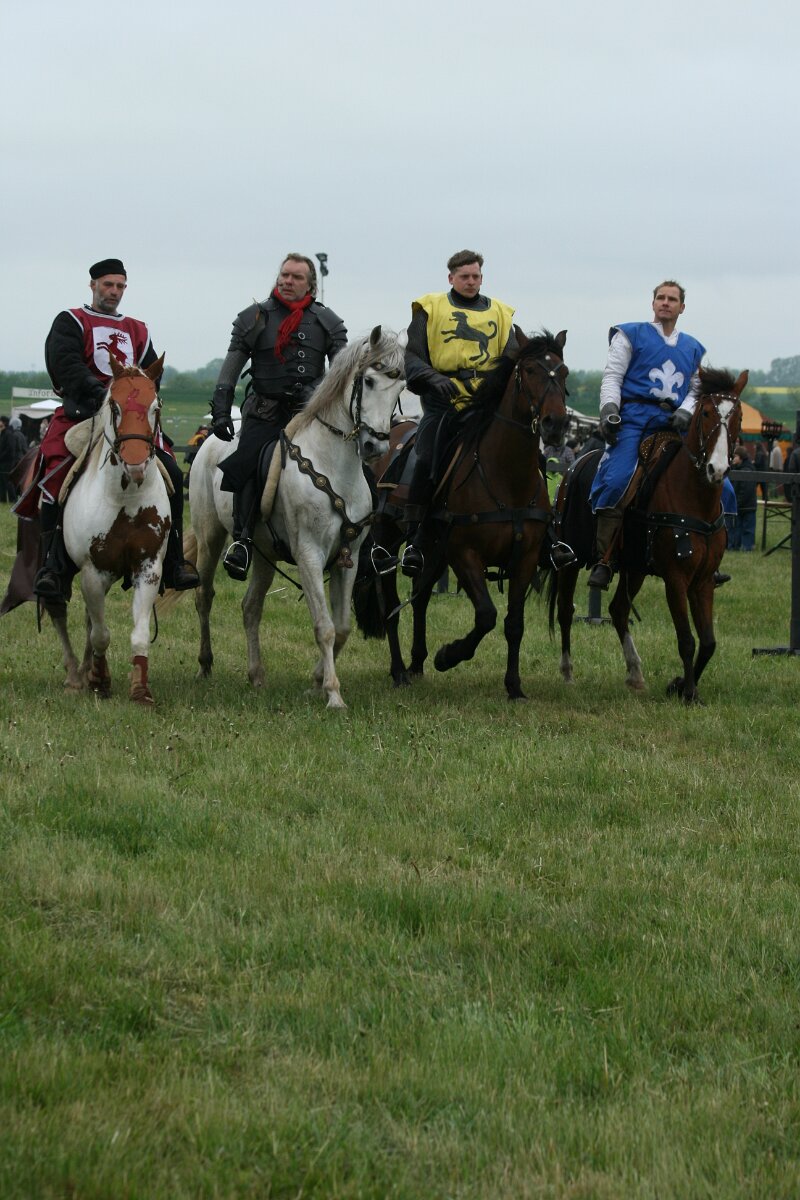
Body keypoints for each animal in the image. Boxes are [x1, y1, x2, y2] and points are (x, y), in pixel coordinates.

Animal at [47, 353, 171, 704]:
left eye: (155, 405)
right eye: (114, 406)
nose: (136, 464)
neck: (124, 498)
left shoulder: (148, 567)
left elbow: (139, 634)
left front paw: (140, 690)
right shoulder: (93, 571)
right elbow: (100, 634)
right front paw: (100, 681)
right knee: (58, 609)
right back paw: (76, 676)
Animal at [185, 326, 406, 708]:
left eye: (399, 388)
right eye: (369, 380)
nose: (376, 446)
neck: (332, 466)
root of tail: (208, 444)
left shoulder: (348, 557)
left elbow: (341, 627)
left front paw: (317, 681)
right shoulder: (309, 555)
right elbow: (325, 627)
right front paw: (333, 694)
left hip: (263, 554)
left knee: (251, 607)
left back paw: (257, 675)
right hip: (209, 536)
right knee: (204, 596)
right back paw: (204, 664)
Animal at [354, 329, 569, 699]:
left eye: (564, 371)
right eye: (529, 371)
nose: (555, 424)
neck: (505, 476)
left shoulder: (525, 558)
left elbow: (514, 624)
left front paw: (514, 687)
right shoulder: (464, 554)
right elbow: (486, 615)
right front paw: (448, 656)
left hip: (432, 549)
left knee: (421, 597)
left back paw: (417, 663)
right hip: (386, 542)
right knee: (391, 604)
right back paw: (399, 671)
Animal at [547, 365, 748, 703]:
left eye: (739, 416)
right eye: (706, 413)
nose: (717, 469)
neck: (694, 499)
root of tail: (575, 466)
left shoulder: (703, 580)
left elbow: (708, 642)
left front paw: (681, 685)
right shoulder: (676, 579)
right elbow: (687, 639)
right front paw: (688, 692)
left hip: (634, 568)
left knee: (618, 610)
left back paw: (635, 672)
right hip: (570, 560)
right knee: (565, 611)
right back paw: (567, 671)